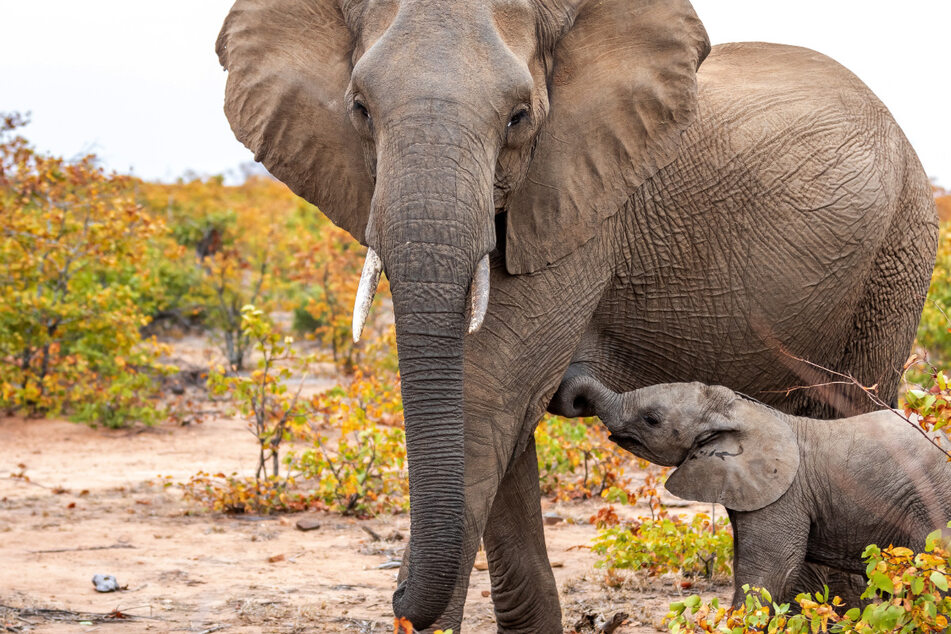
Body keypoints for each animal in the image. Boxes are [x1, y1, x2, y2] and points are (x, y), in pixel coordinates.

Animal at [549, 377, 951, 607]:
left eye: (651, 420)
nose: (569, 399)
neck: (742, 411)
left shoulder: (784, 497)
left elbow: (767, 575)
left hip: (933, 504)